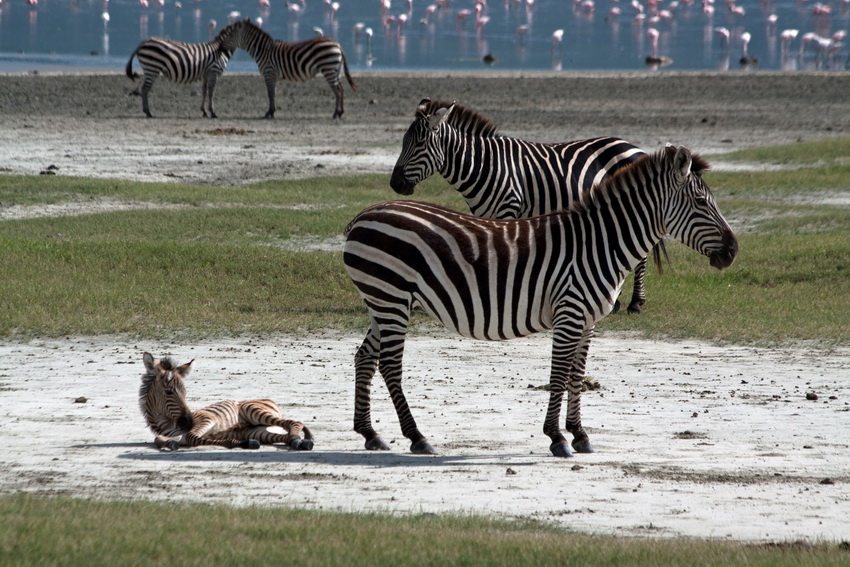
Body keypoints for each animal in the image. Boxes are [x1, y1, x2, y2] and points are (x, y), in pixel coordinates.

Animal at [141, 350, 314, 452]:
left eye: (185, 392)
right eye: (169, 392)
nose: (188, 422)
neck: (168, 423)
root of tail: (267, 399)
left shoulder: (206, 419)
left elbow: (191, 437)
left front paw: (238, 443)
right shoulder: (177, 434)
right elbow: (160, 439)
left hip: (253, 411)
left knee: (294, 422)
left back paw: (297, 440)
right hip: (257, 431)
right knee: (285, 435)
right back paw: (300, 442)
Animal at [219, 18, 354, 119]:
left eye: (230, 35)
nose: (220, 48)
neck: (263, 50)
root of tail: (337, 44)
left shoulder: (269, 73)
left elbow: (270, 94)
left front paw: (269, 113)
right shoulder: (273, 75)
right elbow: (273, 93)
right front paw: (272, 111)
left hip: (328, 68)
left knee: (337, 90)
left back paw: (336, 113)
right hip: (336, 70)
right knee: (341, 89)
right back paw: (340, 112)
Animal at [344, 145, 736, 458]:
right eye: (702, 203)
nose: (733, 251)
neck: (601, 244)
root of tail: (363, 216)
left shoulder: (588, 321)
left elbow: (577, 376)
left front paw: (579, 434)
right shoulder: (569, 313)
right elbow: (559, 376)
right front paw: (557, 438)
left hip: (385, 303)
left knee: (365, 357)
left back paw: (370, 433)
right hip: (391, 299)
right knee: (389, 365)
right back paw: (417, 437)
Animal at [390, 101, 664, 316]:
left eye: (420, 143)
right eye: (403, 142)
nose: (395, 184)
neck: (483, 165)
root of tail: (634, 147)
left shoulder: (508, 208)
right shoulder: (483, 214)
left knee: (641, 253)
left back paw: (635, 303)